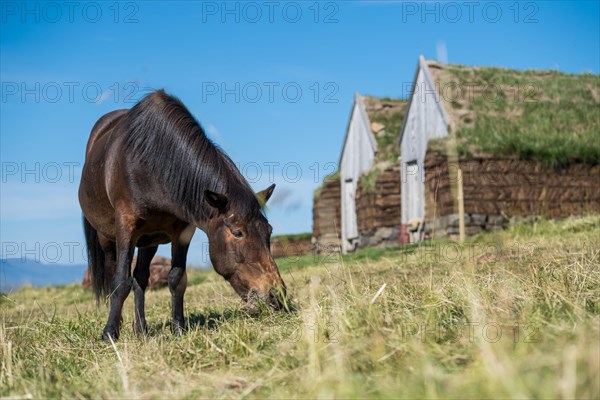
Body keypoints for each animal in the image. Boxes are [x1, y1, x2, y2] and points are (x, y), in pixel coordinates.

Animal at [80, 90, 288, 340]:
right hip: (107, 236)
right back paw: (119, 324)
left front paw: (179, 328)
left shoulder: (182, 232)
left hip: (148, 240)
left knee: (141, 278)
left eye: (269, 230)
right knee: (115, 273)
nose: (277, 296)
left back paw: (141, 329)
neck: (151, 162)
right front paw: (109, 333)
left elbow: (177, 278)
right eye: (238, 232)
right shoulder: (126, 226)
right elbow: (120, 281)